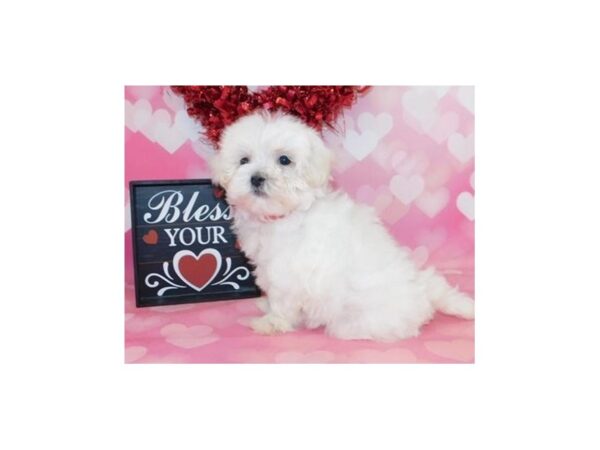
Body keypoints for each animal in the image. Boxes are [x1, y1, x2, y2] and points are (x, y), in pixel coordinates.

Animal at [211, 110, 474, 340]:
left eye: (284, 160)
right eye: (244, 160)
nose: (256, 177)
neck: (285, 215)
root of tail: (422, 287)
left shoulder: (286, 272)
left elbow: (282, 302)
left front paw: (272, 322)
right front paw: (267, 307)